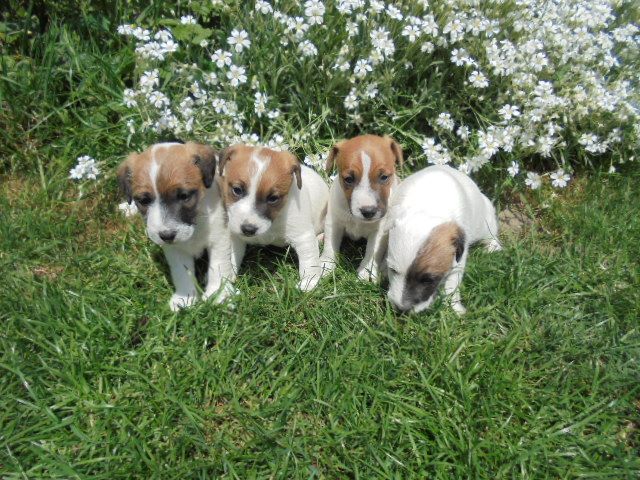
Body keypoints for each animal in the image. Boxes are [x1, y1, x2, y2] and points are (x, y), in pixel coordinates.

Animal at [116, 142, 234, 312]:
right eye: (144, 200)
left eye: (184, 196)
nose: (167, 235)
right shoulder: (174, 249)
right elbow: (181, 272)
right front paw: (185, 298)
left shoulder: (219, 238)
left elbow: (218, 266)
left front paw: (219, 295)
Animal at [219, 144, 330, 290]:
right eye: (237, 190)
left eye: (273, 198)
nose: (248, 229)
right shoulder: (235, 235)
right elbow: (230, 256)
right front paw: (225, 282)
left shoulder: (303, 236)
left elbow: (309, 260)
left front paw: (309, 282)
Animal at [318, 134, 400, 282]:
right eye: (348, 179)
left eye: (384, 177)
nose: (368, 211)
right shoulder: (333, 222)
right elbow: (329, 246)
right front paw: (325, 265)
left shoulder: (380, 230)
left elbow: (373, 251)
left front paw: (367, 272)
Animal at [382, 165, 502, 316]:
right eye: (393, 270)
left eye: (428, 279)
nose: (401, 310)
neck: (427, 206)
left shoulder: (459, 259)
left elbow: (452, 282)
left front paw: (454, 307)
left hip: (485, 222)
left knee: (491, 234)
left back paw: (492, 247)